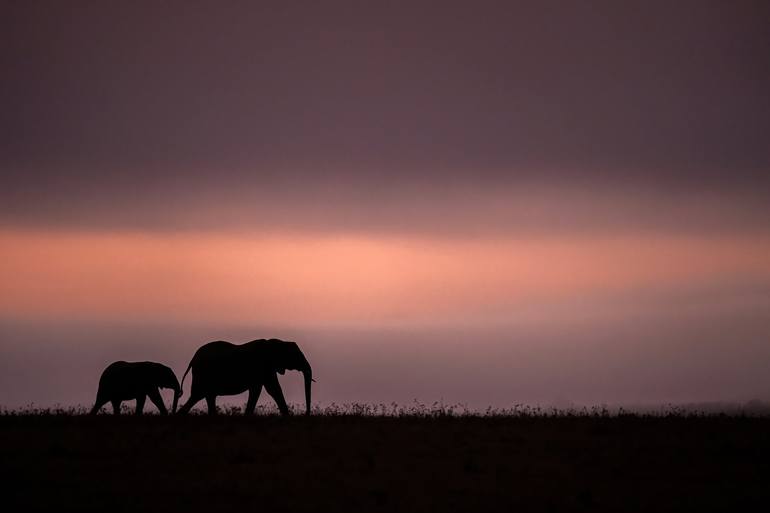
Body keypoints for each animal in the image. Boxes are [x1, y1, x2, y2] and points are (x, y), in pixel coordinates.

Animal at [176, 338, 312, 414]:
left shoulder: (267, 369)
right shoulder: (263, 366)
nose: (306, 414)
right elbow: (268, 389)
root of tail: (193, 359)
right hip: (203, 375)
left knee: (205, 397)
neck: (277, 342)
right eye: (296, 356)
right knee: (198, 396)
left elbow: (269, 389)